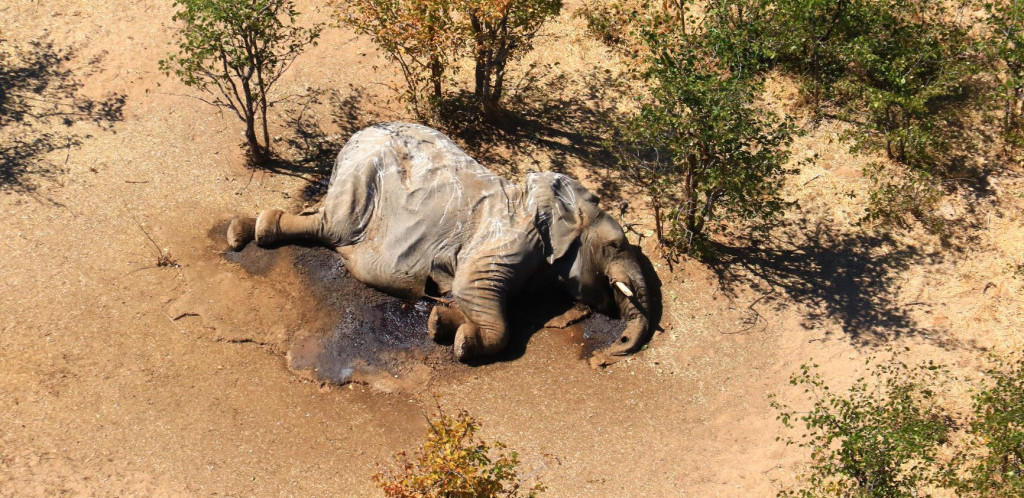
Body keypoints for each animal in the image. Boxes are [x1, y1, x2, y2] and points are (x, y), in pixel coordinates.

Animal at [227, 123, 651, 364]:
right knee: (331, 227)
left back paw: (244, 230)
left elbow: (466, 295)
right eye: (616, 245)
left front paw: (439, 323)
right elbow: (474, 290)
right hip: (360, 180)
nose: (605, 358)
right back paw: (250, 231)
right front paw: (465, 343)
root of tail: (354, 137)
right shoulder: (508, 239)